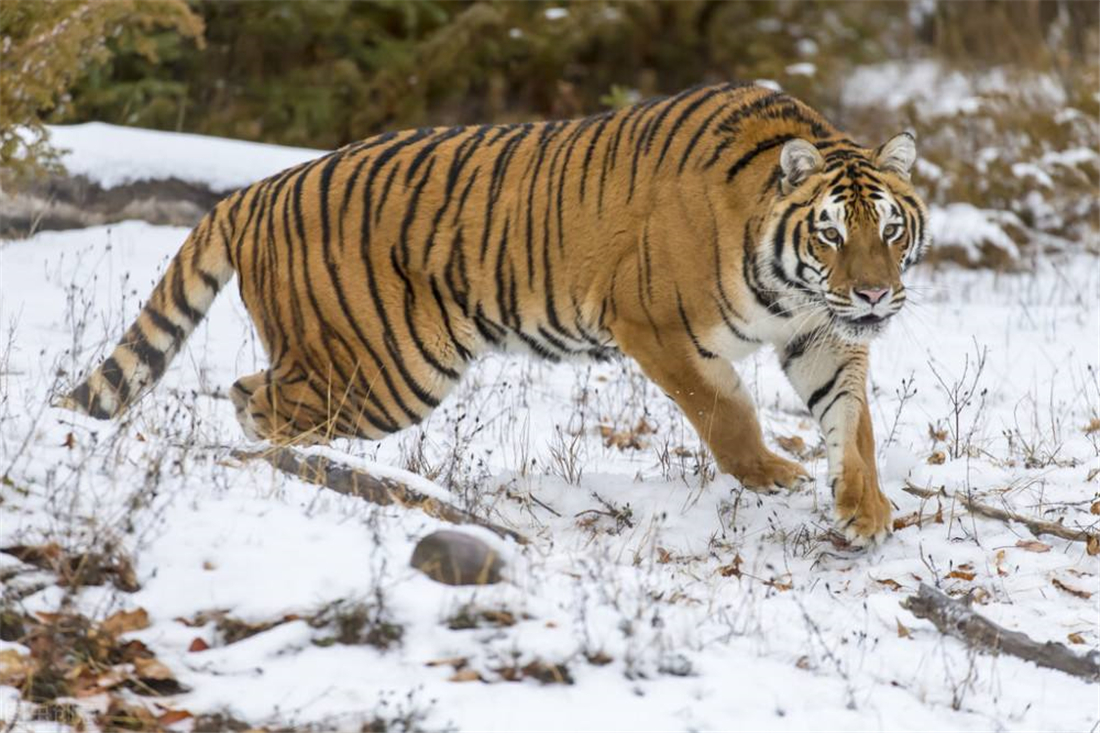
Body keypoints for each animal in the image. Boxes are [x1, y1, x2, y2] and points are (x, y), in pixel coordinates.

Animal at [62, 82, 928, 545]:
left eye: (889, 230)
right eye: (830, 233)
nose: (874, 295)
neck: (795, 283)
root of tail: (254, 188)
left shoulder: (820, 333)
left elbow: (853, 422)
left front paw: (865, 509)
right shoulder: (655, 323)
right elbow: (726, 412)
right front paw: (776, 474)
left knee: (253, 393)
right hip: (388, 368)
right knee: (256, 399)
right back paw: (320, 473)